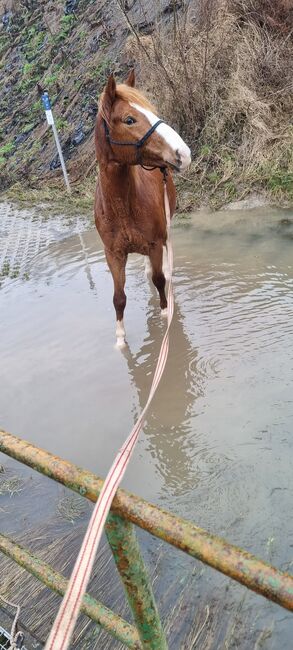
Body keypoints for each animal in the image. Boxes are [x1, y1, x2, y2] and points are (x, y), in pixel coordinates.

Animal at [93, 69, 189, 346]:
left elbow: (160, 281)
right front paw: (120, 341)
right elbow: (119, 298)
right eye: (129, 119)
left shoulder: (155, 243)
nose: (183, 152)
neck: (121, 207)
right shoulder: (113, 254)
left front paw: (166, 319)